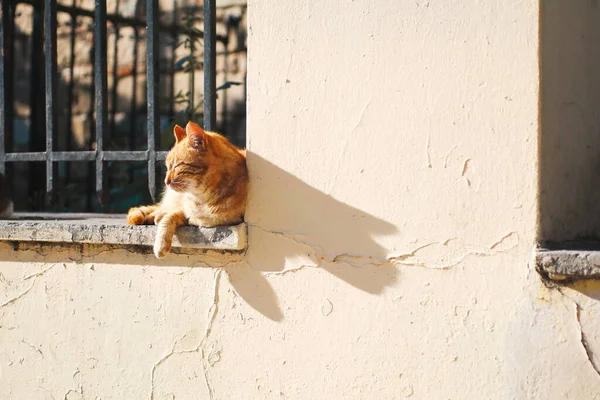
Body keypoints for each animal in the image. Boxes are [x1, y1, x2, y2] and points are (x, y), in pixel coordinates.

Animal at [126, 122, 248, 258]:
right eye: (168, 167)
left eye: (177, 166)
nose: (165, 181)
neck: (203, 199)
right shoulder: (185, 209)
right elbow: (171, 216)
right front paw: (161, 243)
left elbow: (177, 217)